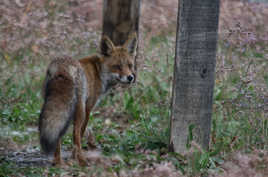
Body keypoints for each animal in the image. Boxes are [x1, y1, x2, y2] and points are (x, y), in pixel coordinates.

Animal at [38, 33, 137, 166]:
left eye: (130, 65)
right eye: (117, 66)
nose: (130, 77)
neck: (99, 72)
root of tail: (61, 67)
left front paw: (71, 158)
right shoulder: (88, 107)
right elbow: (80, 134)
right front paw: (74, 157)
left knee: (58, 133)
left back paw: (58, 162)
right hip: (80, 109)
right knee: (75, 134)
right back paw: (82, 161)